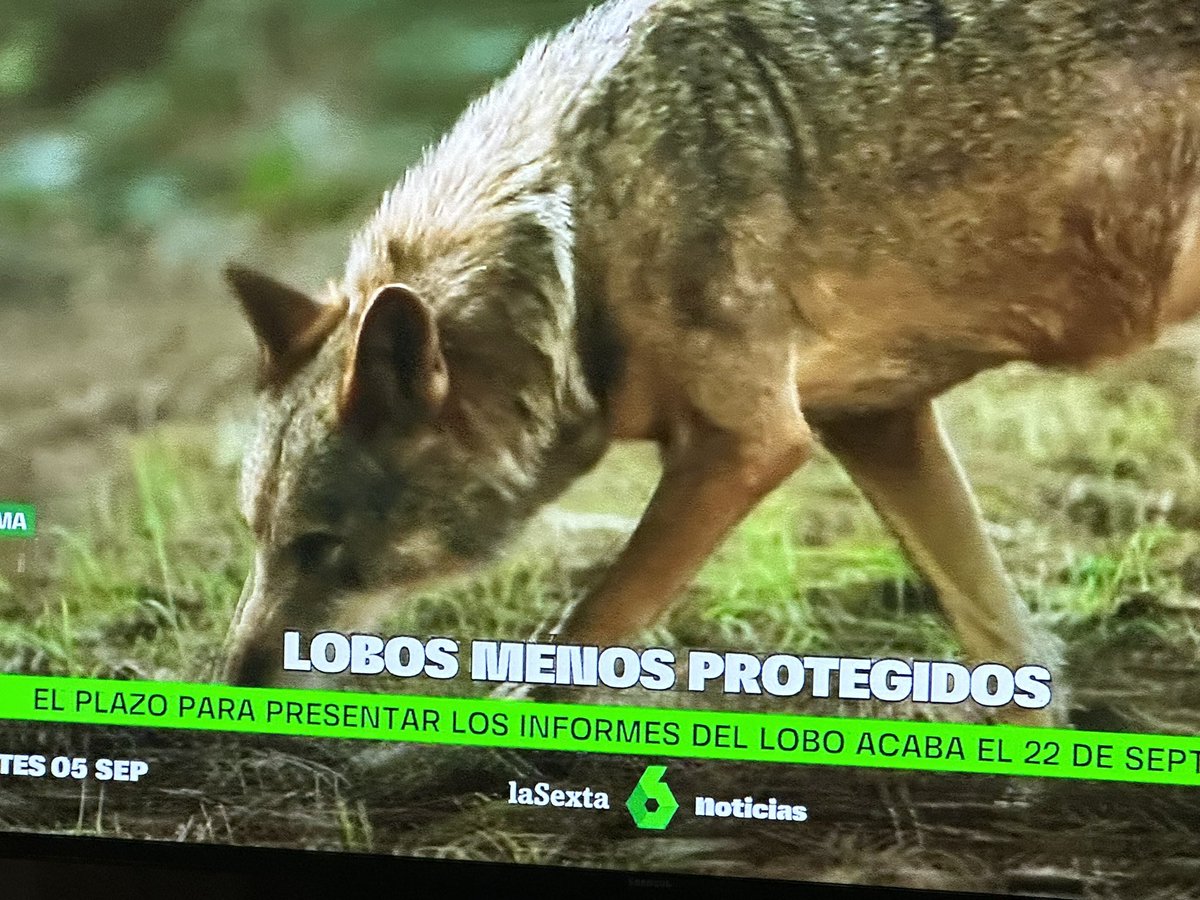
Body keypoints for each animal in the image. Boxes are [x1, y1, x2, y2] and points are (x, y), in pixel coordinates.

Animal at [222, 0, 1200, 725]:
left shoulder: (748, 445)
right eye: (258, 537)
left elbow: (586, 630)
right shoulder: (872, 418)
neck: (582, 226)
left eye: (318, 547)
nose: (229, 684)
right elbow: (1002, 641)